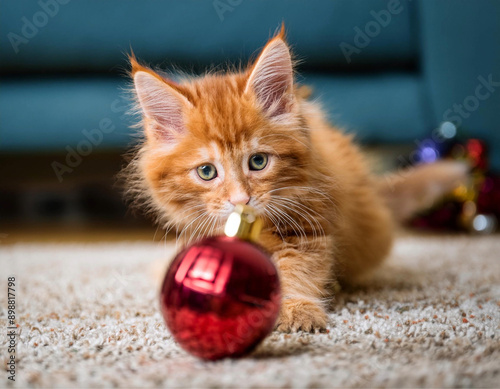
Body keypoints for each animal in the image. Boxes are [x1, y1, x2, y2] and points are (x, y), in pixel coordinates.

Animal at [124, 27, 464, 332]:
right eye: (207, 172)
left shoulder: (309, 225)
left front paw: (295, 307)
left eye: (258, 162)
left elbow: (298, 271)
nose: (241, 200)